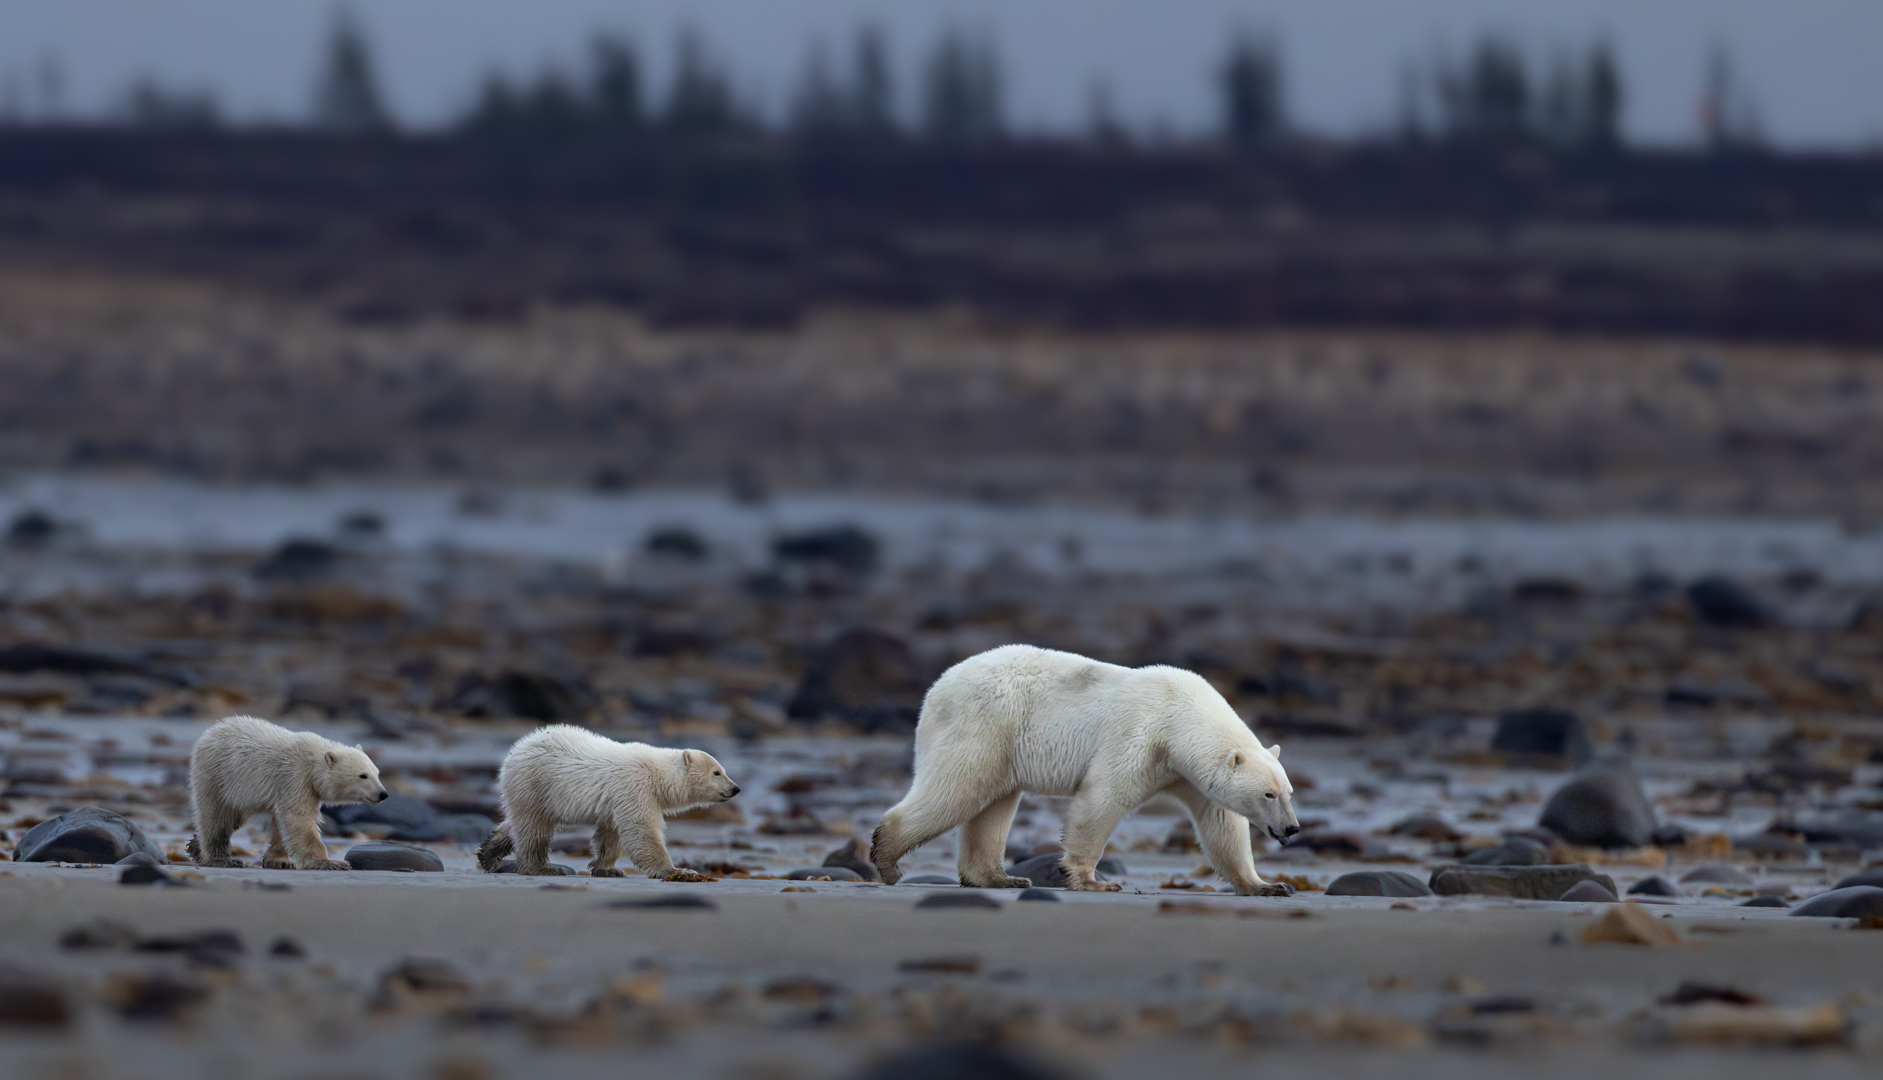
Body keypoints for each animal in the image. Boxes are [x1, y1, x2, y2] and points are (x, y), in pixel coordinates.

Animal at [187, 714, 389, 870]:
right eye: (363, 775)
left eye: (377, 773)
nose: (383, 794)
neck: (313, 762)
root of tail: (212, 731)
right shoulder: (296, 776)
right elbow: (298, 817)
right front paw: (331, 863)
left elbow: (282, 821)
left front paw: (278, 861)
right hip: (218, 776)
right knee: (217, 817)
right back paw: (221, 859)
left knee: (234, 819)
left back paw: (195, 846)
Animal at [475, 725, 741, 879]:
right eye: (717, 772)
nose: (735, 788)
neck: (657, 774)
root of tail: (516, 749)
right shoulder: (635, 786)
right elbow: (641, 829)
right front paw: (679, 871)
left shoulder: (619, 799)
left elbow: (611, 832)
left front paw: (608, 869)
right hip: (536, 782)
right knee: (534, 827)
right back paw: (544, 868)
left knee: (518, 822)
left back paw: (488, 854)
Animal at [870, 644, 1300, 895]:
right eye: (1268, 794)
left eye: (1289, 792)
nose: (1293, 829)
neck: (1179, 716)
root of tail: (938, 686)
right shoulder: (1140, 736)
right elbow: (1102, 799)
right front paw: (1093, 881)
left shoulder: (1184, 772)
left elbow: (1221, 823)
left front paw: (1267, 885)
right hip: (986, 723)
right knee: (957, 788)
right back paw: (887, 859)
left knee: (993, 803)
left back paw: (999, 877)